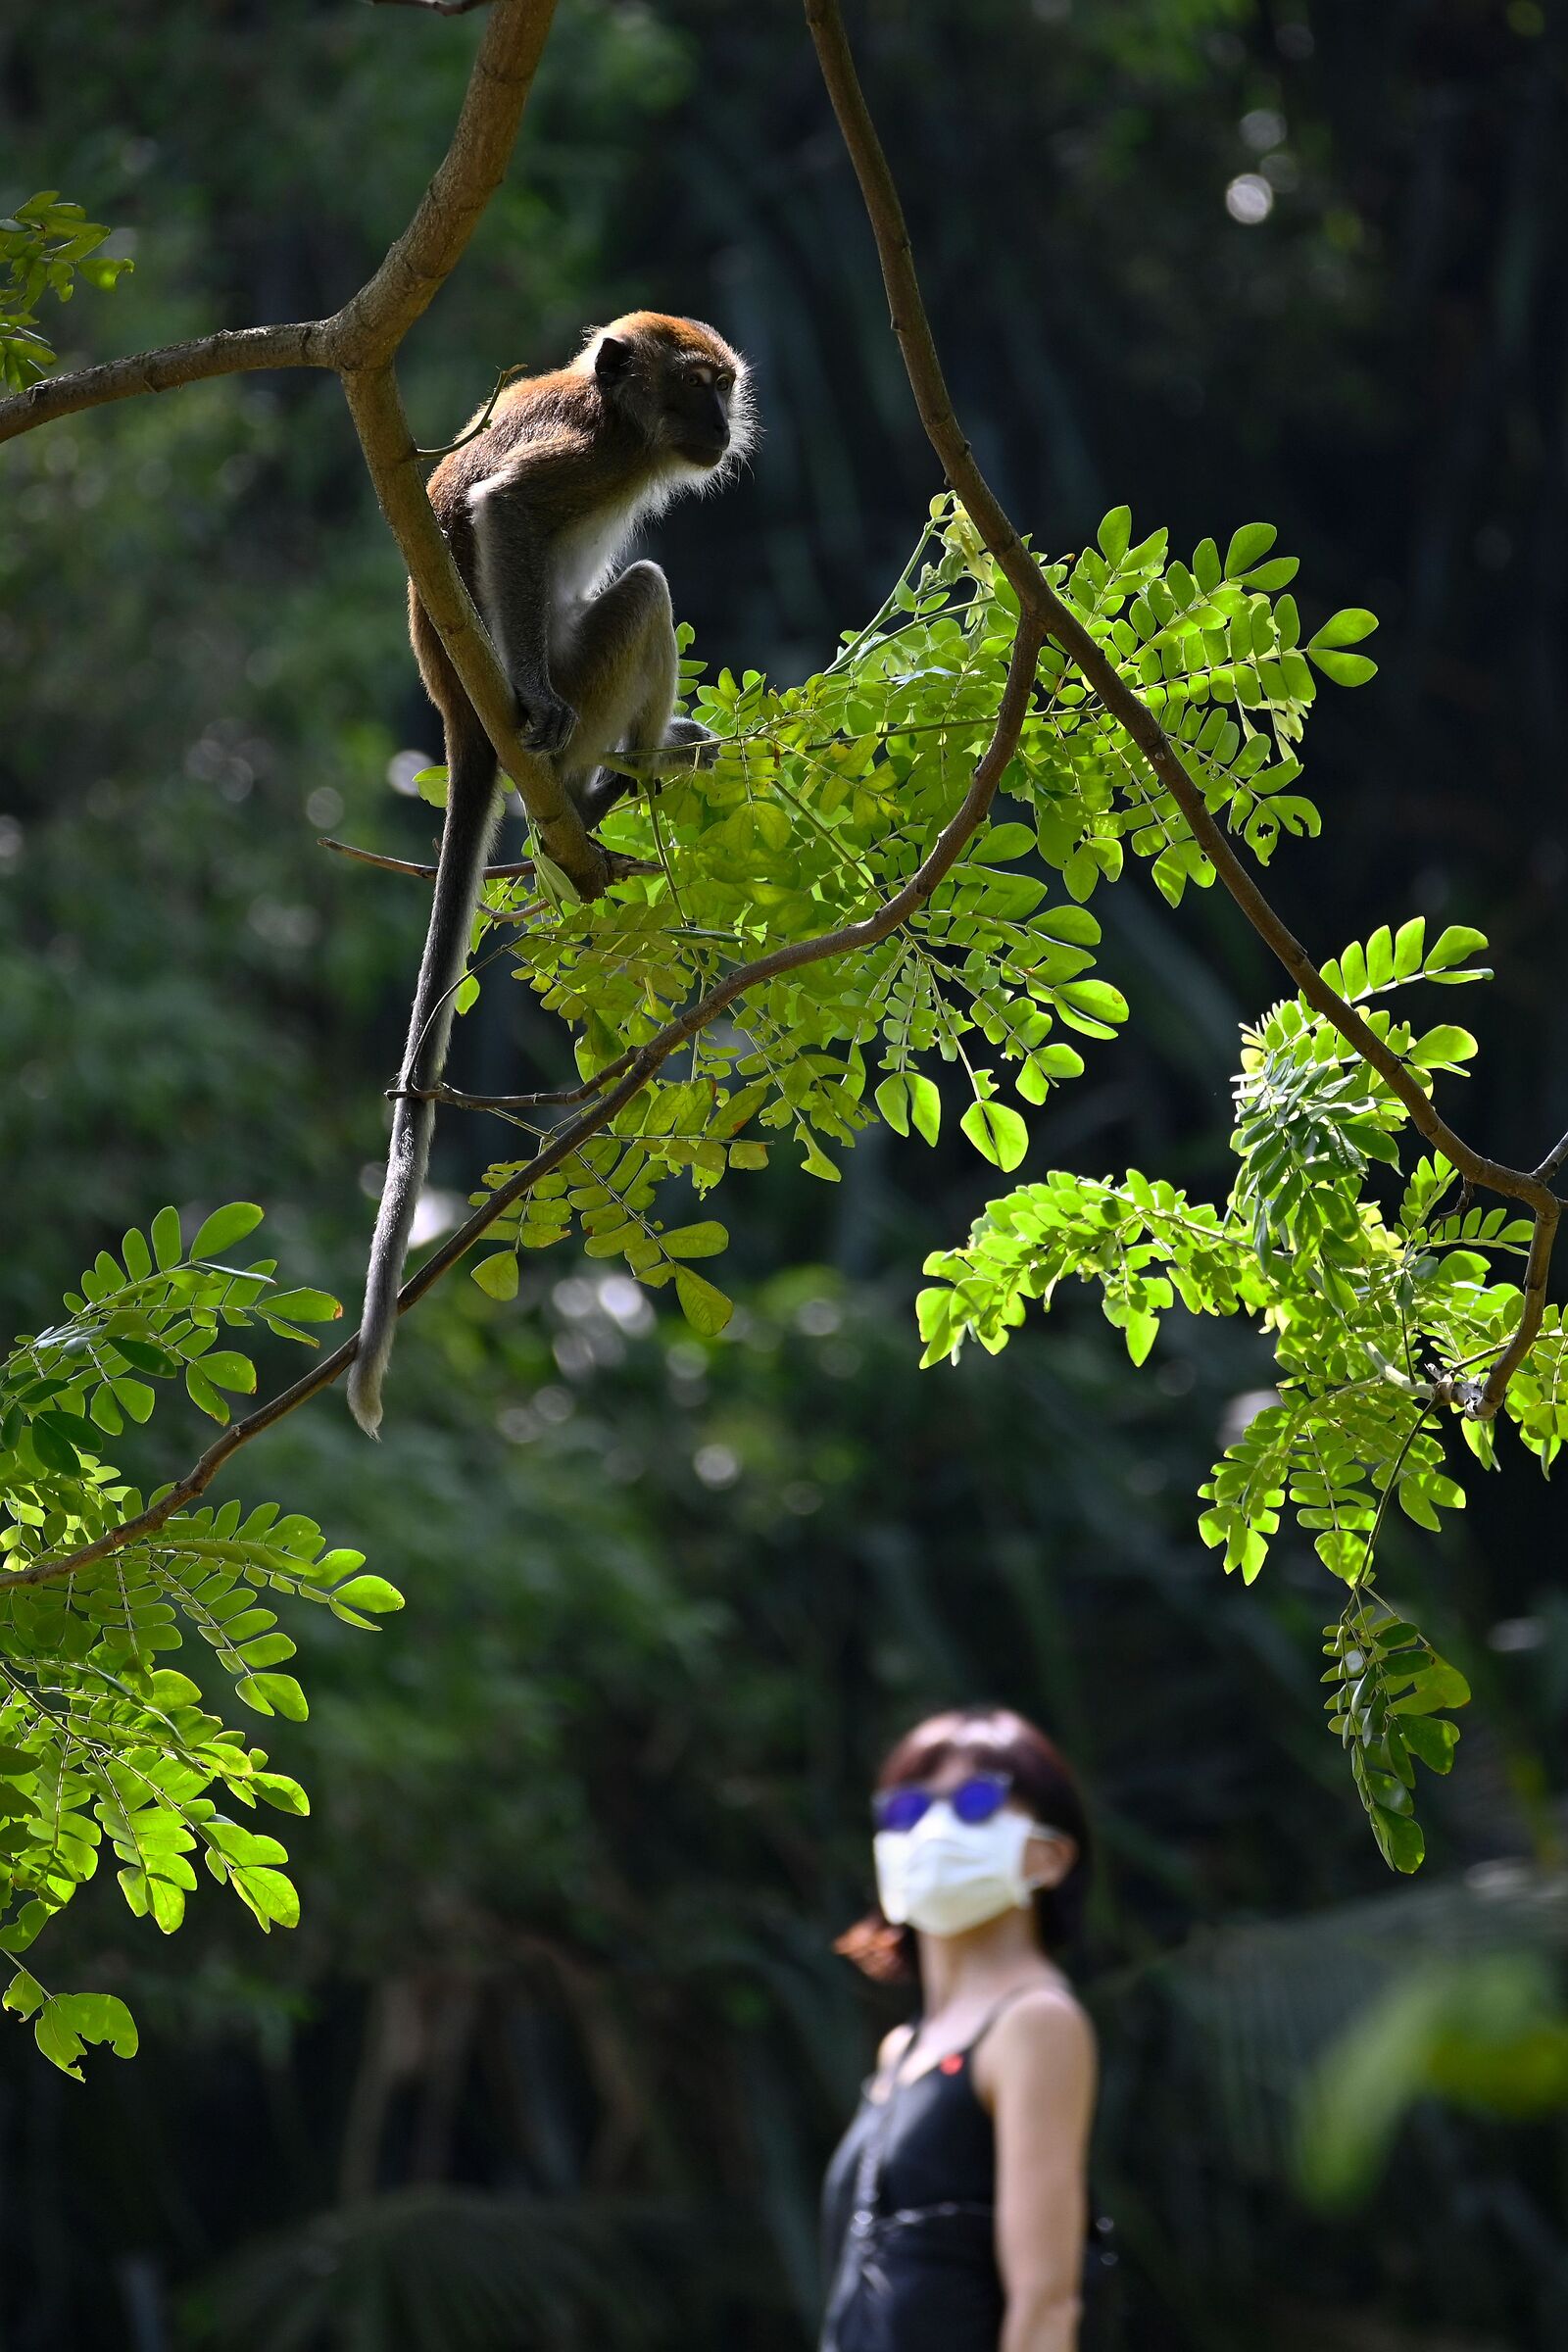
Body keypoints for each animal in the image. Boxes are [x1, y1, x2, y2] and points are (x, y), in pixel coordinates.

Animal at [347, 313, 754, 1437]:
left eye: (726, 388)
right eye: (695, 387)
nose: (721, 426)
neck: (617, 412)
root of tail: (458, 716)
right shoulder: (594, 456)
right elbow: (506, 507)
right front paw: (535, 690)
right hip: (581, 683)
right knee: (644, 594)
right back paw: (624, 774)